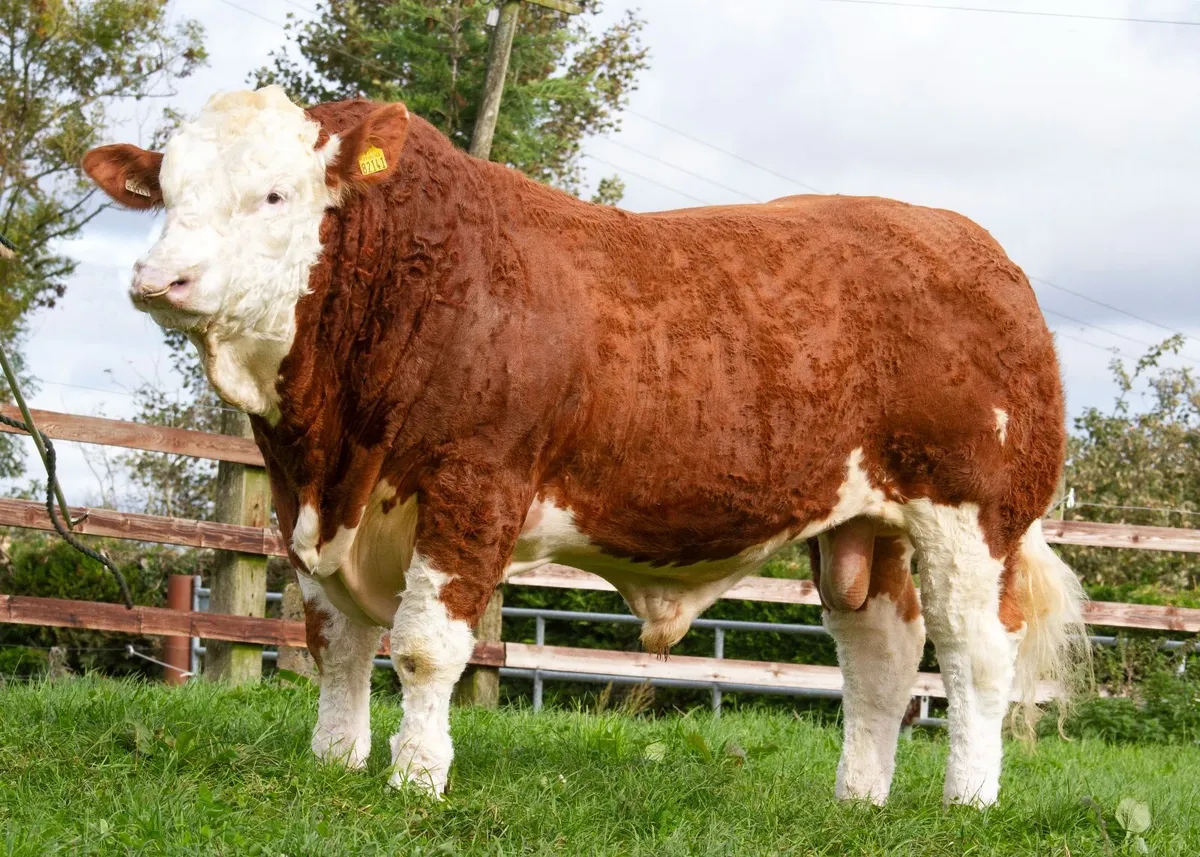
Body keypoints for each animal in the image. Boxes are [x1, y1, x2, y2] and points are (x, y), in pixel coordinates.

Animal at [82, 85, 1085, 808]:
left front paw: (415, 777)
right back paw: (858, 800)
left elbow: (425, 647)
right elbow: (334, 642)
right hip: (861, 524)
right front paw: (335, 760)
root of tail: (977, 246)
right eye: (165, 193)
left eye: (274, 194)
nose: (159, 279)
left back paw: (967, 797)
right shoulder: (311, 503)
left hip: (972, 512)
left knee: (974, 653)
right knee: (880, 653)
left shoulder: (473, 484)